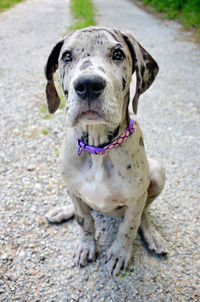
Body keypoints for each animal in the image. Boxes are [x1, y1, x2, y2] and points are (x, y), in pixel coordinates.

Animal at [44, 26, 166, 276]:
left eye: (118, 54)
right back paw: (63, 211)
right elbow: (84, 220)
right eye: (66, 56)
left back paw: (151, 233)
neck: (98, 149)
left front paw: (120, 253)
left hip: (158, 172)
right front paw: (85, 246)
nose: (88, 85)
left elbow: (129, 226)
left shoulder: (135, 199)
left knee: (145, 212)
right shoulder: (74, 190)